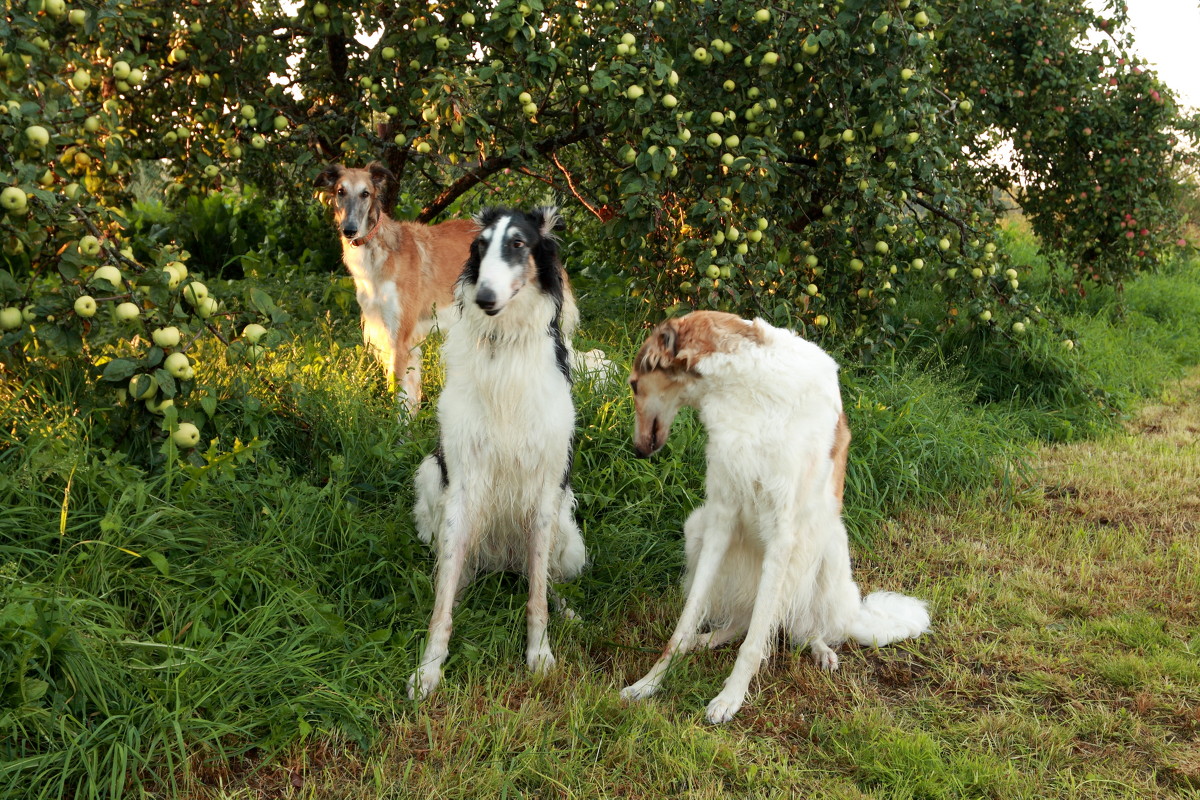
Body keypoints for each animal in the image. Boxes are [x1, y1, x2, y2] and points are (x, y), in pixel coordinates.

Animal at [314, 163, 477, 412]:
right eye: (341, 191)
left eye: (365, 193)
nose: (349, 230)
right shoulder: (385, 332)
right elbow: (408, 397)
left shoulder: (400, 339)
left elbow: (396, 394)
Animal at [408, 206, 585, 700]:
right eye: (480, 245)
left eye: (519, 244)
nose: (485, 296)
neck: (502, 344)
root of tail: (502, 561)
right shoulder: (463, 483)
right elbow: (442, 604)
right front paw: (429, 669)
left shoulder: (545, 489)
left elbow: (537, 598)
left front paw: (539, 654)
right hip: (433, 481)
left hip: (568, 534)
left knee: (542, 579)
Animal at [624, 309, 931, 724]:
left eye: (634, 384)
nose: (637, 451)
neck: (749, 388)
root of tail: (852, 613)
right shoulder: (721, 518)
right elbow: (683, 627)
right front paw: (649, 683)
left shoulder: (784, 534)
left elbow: (754, 644)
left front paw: (729, 699)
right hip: (696, 527)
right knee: (741, 621)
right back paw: (703, 641)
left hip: (828, 549)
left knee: (805, 627)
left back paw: (822, 651)